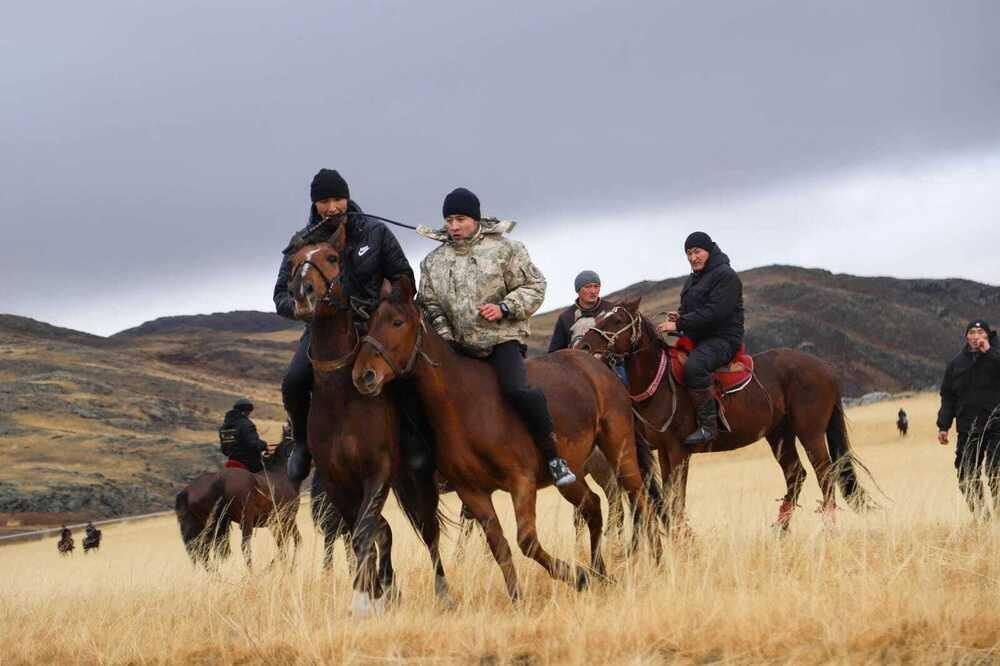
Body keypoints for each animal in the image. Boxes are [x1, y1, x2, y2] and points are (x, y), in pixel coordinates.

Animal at [175, 438, 300, 568]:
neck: (282, 473)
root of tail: (186, 491)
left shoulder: (276, 523)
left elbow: (284, 543)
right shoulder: (288, 519)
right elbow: (292, 541)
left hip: (208, 526)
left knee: (205, 553)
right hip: (242, 521)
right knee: (243, 547)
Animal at [284, 224, 452, 616]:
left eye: (332, 257)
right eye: (294, 262)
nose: (303, 294)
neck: (340, 395)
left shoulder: (377, 472)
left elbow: (363, 534)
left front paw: (363, 600)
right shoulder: (337, 483)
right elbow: (360, 533)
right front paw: (371, 593)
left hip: (416, 481)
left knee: (428, 531)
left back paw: (442, 591)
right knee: (385, 530)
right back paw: (389, 589)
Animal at [354, 278, 664, 600]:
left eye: (397, 322)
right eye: (367, 324)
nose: (363, 375)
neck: (463, 403)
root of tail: (597, 365)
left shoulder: (521, 481)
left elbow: (526, 540)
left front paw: (576, 577)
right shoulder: (472, 492)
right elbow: (498, 546)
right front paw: (519, 597)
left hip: (619, 451)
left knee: (640, 500)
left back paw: (654, 563)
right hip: (573, 472)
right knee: (592, 507)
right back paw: (601, 573)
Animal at [580, 296, 876, 536]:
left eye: (617, 320)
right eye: (599, 317)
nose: (583, 346)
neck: (659, 382)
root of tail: (825, 369)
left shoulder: (678, 452)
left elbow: (676, 499)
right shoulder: (663, 452)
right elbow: (669, 497)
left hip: (810, 432)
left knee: (825, 473)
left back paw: (828, 530)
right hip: (780, 434)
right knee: (796, 474)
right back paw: (780, 531)